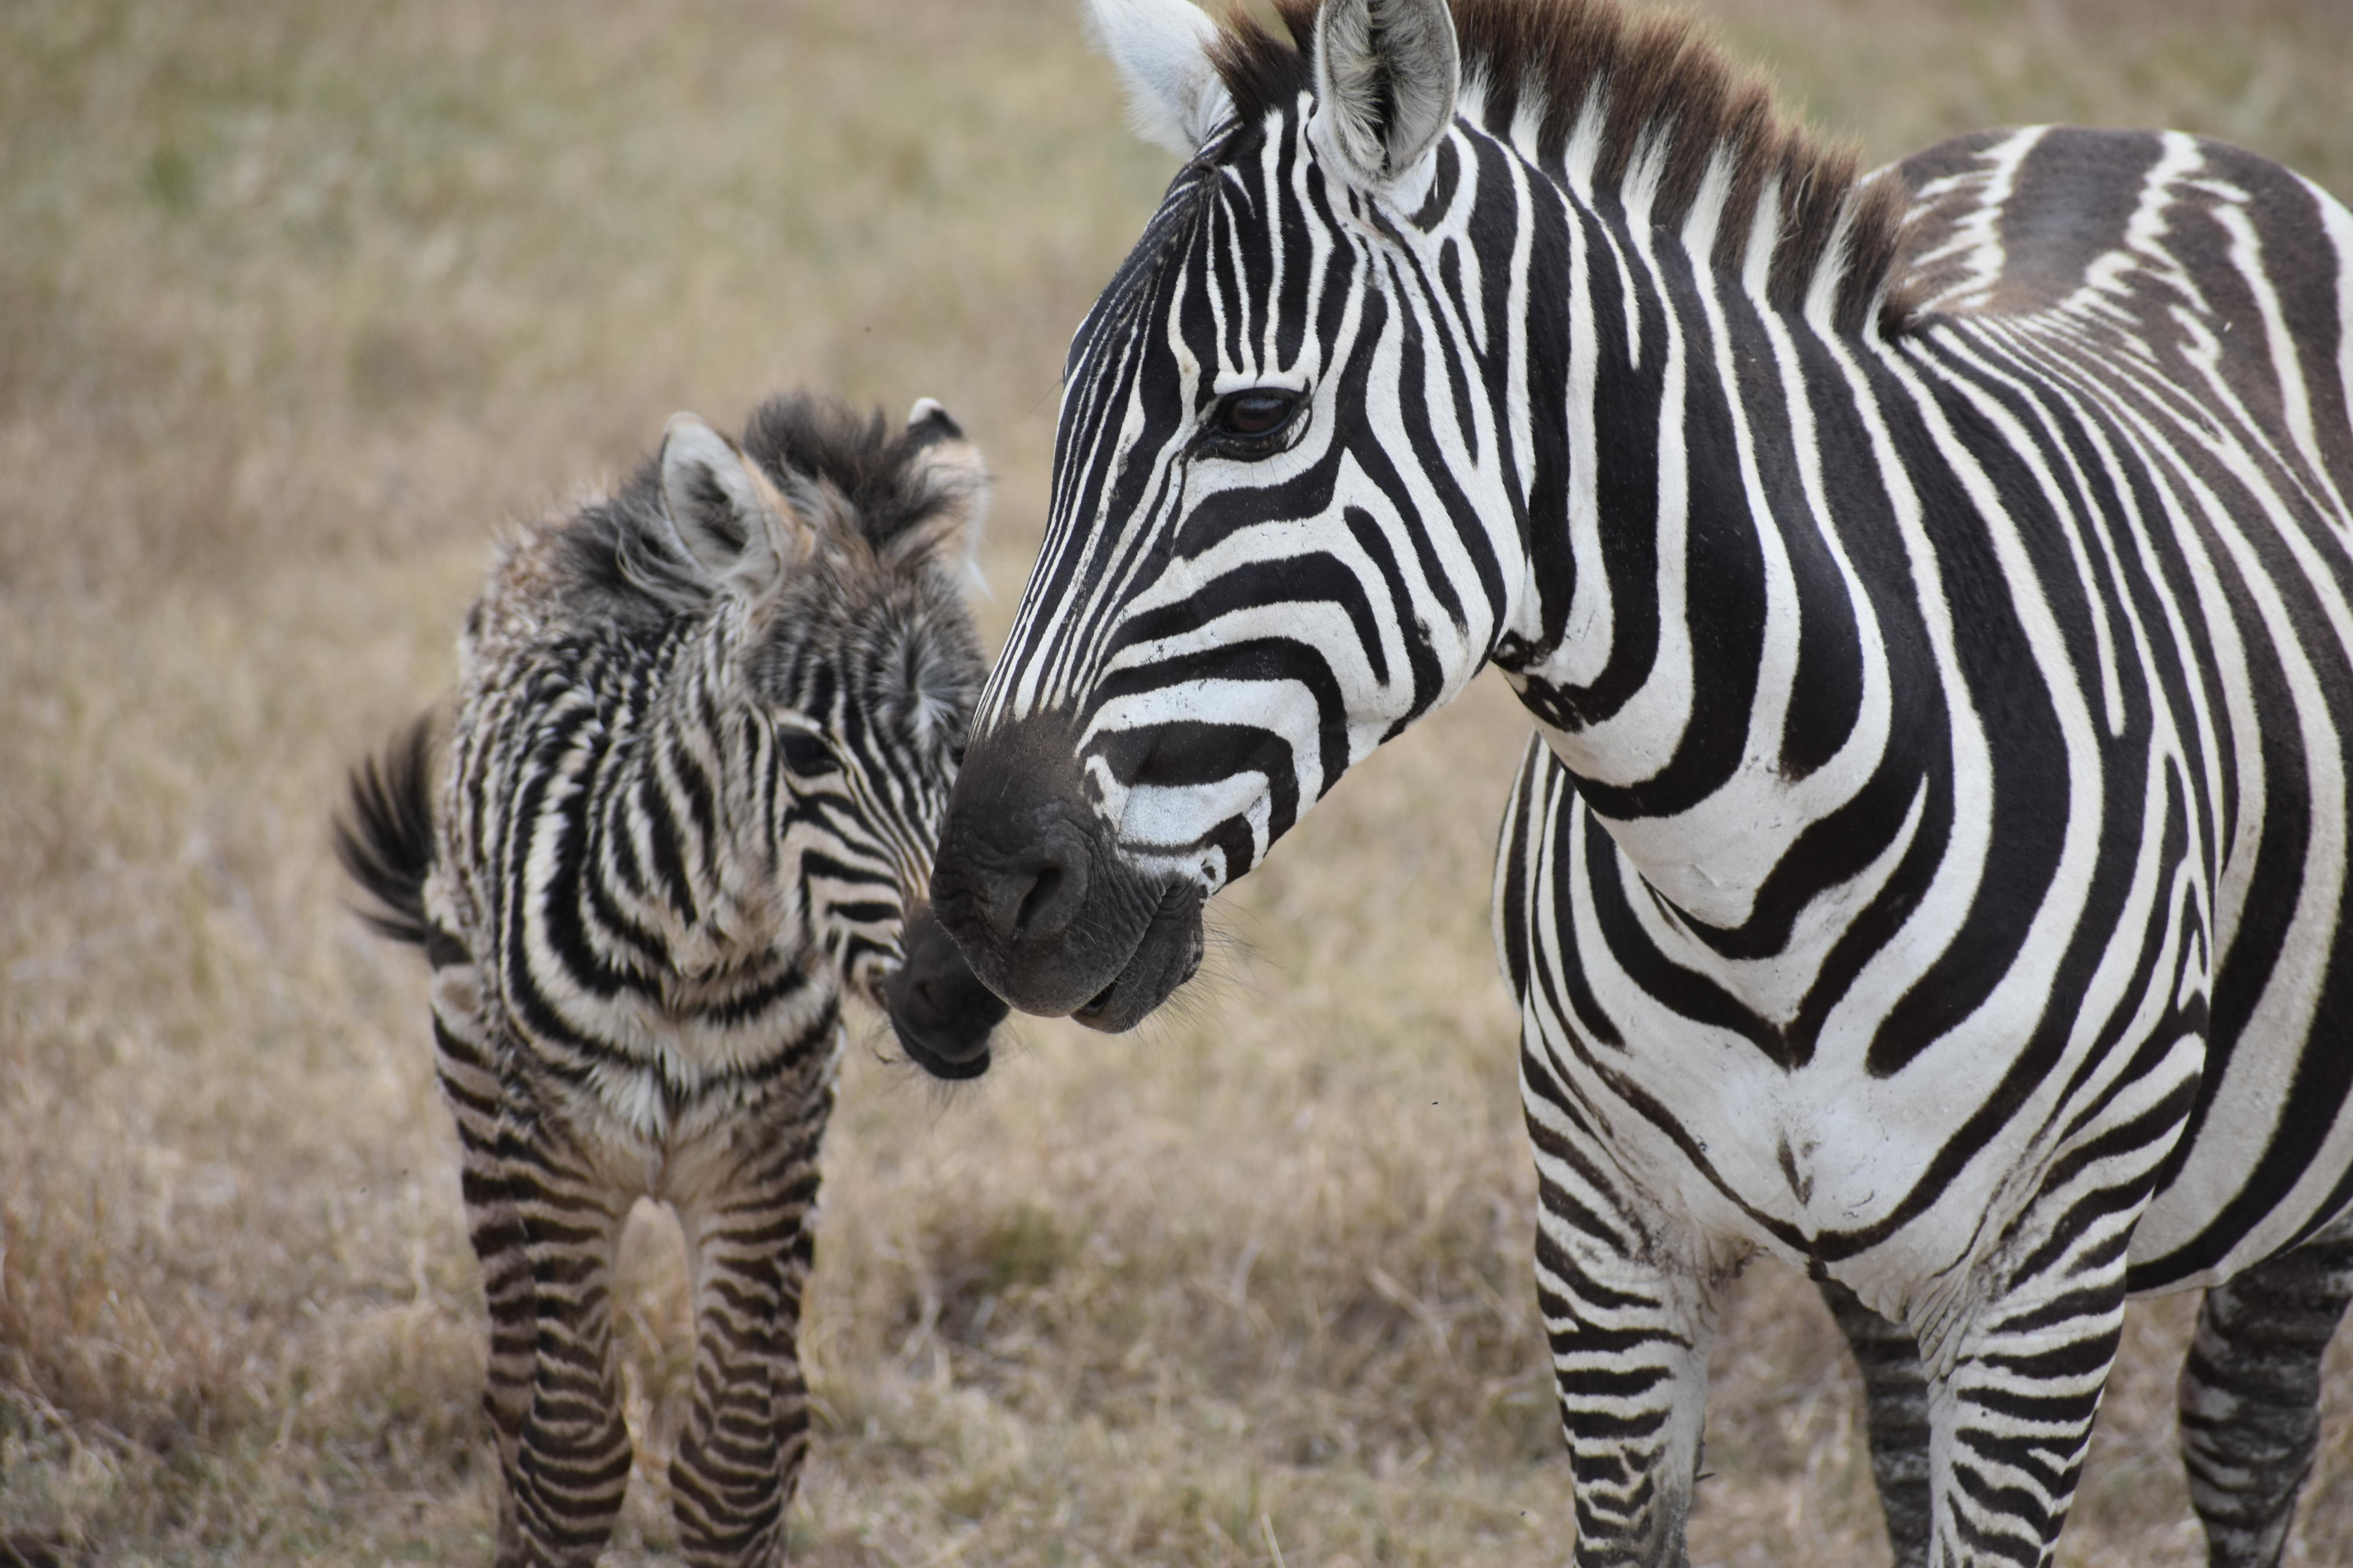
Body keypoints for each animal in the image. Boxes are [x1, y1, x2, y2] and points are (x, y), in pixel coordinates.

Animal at [336, 393, 1006, 1568]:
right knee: (512, 1393)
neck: (695, 967)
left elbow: (739, 1461)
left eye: (966, 747)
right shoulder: (553, 1159)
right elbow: (570, 1457)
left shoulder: (769, 1159)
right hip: (477, 1081)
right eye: (808, 753)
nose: (965, 994)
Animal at [924, 0, 2353, 1563]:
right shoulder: (1603, 1230)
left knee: (2245, 1441)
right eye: (1060, 416)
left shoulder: (2038, 1283)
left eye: (1250, 418)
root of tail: (2131, 135)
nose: (986, 891)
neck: (1760, 865)